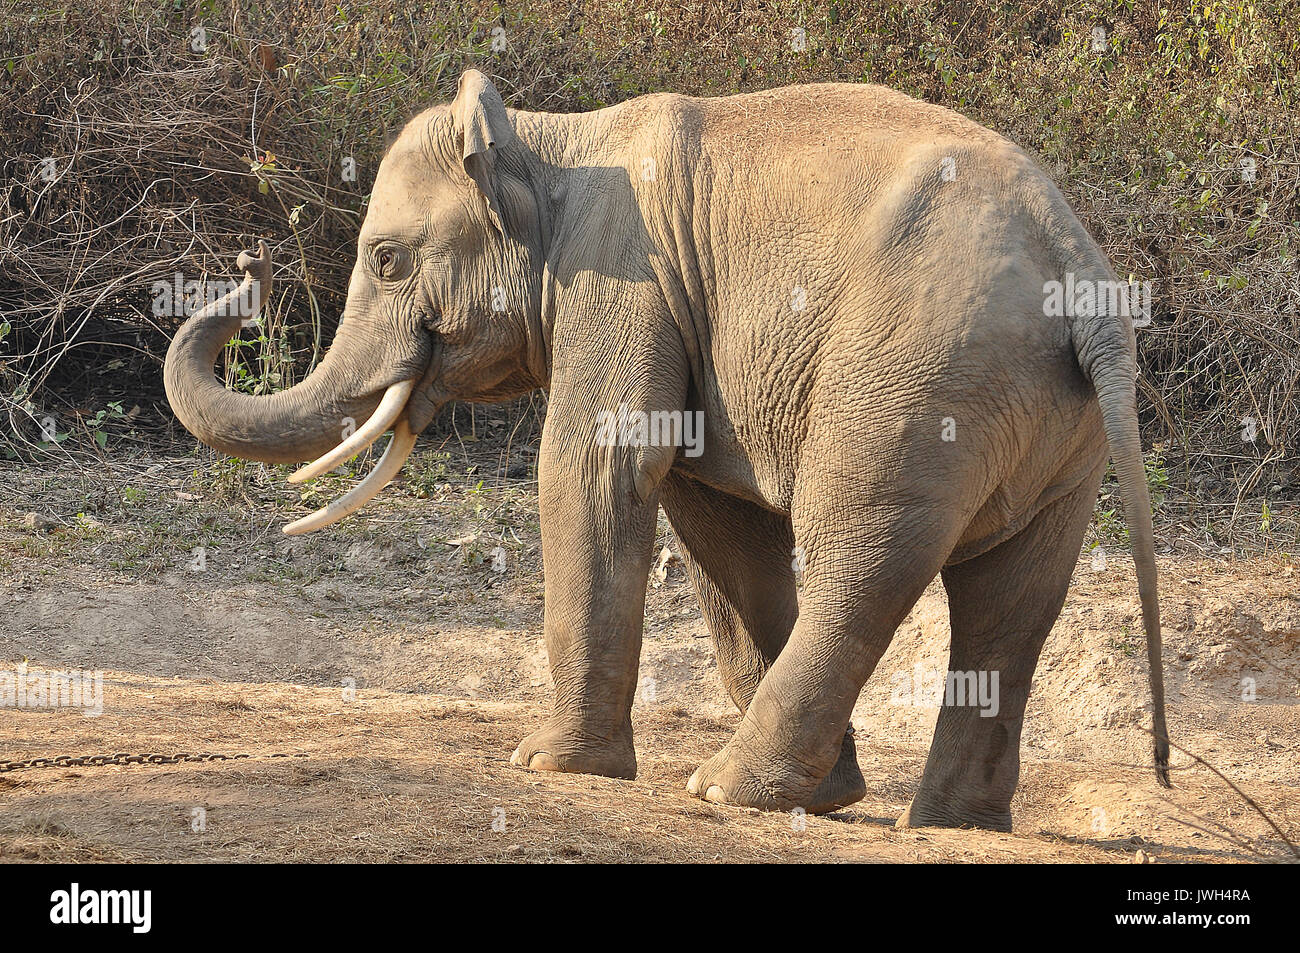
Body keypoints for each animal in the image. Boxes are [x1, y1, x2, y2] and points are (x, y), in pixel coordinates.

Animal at [162, 68, 1170, 826]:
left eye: (387, 260)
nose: (246, 275)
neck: (554, 142)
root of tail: (1081, 278)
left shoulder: (622, 280)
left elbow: (593, 468)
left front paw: (546, 765)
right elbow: (717, 521)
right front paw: (832, 793)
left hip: (919, 382)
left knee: (864, 555)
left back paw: (724, 788)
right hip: (1057, 433)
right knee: (1013, 599)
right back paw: (946, 823)